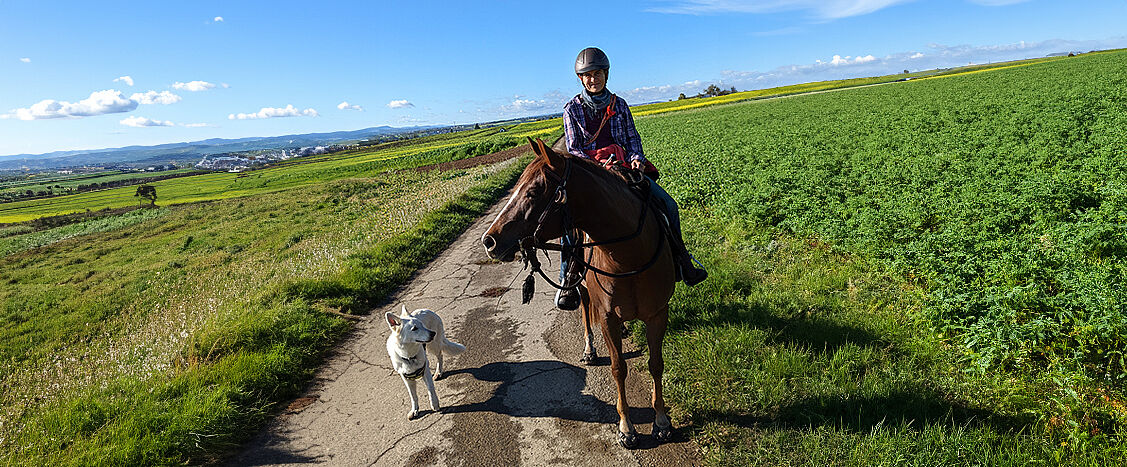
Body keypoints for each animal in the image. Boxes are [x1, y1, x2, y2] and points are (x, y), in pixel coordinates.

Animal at [481, 138, 676, 448]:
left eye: (533, 191)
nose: (489, 241)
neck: (628, 254)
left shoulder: (658, 313)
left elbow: (656, 364)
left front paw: (661, 421)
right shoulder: (607, 316)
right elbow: (618, 367)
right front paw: (626, 427)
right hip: (581, 287)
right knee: (584, 308)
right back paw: (589, 349)